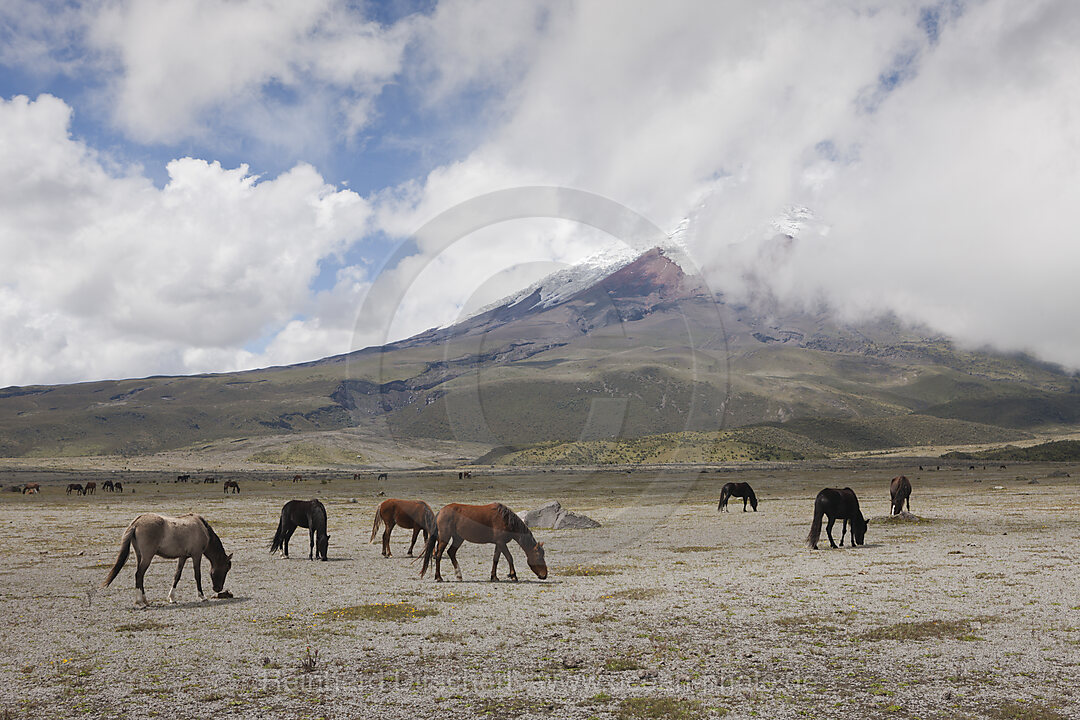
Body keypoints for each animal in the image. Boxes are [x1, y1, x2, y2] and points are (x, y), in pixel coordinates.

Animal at [101, 511, 232, 608]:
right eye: (226, 569)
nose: (218, 589)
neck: (202, 528)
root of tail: (137, 523)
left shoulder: (183, 557)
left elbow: (177, 575)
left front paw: (172, 598)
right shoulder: (197, 555)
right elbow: (197, 575)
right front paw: (202, 596)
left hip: (140, 556)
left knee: (140, 576)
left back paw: (145, 600)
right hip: (147, 557)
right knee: (139, 574)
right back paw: (140, 602)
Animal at [416, 505, 544, 582]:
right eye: (539, 556)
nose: (544, 575)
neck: (506, 520)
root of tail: (441, 511)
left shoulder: (499, 544)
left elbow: (495, 559)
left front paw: (494, 577)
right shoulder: (501, 543)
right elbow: (509, 557)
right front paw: (513, 575)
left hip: (458, 538)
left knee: (451, 552)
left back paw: (459, 575)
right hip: (444, 538)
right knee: (438, 555)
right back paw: (438, 577)